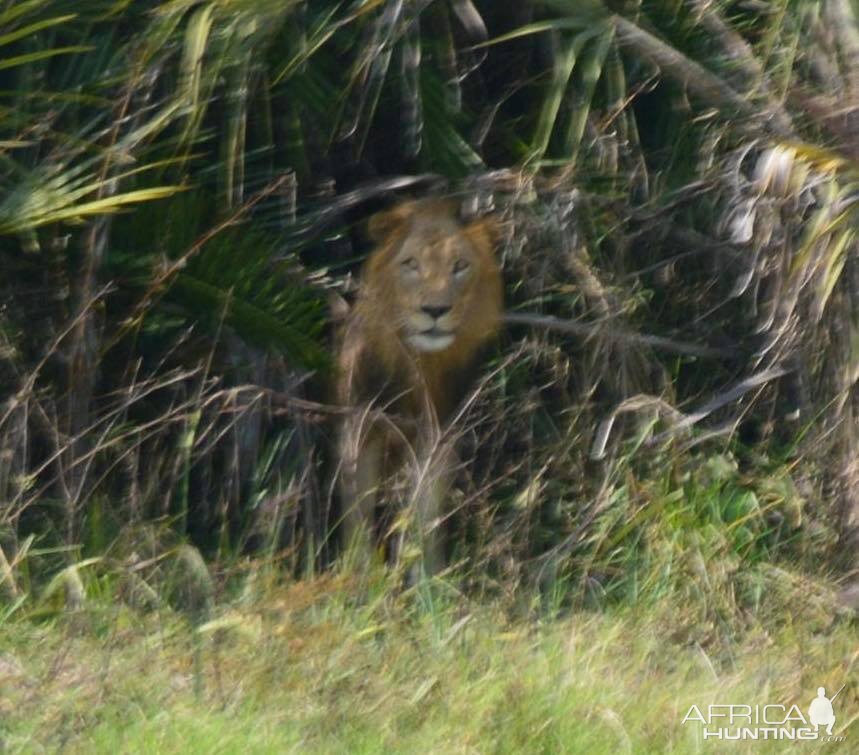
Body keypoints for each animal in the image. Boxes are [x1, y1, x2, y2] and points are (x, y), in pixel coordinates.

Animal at [336, 198, 504, 576]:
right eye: (411, 264)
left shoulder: (438, 435)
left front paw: (427, 578)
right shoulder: (360, 429)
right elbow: (358, 511)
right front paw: (360, 575)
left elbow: (424, 516)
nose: (435, 310)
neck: (418, 365)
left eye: (460, 266)